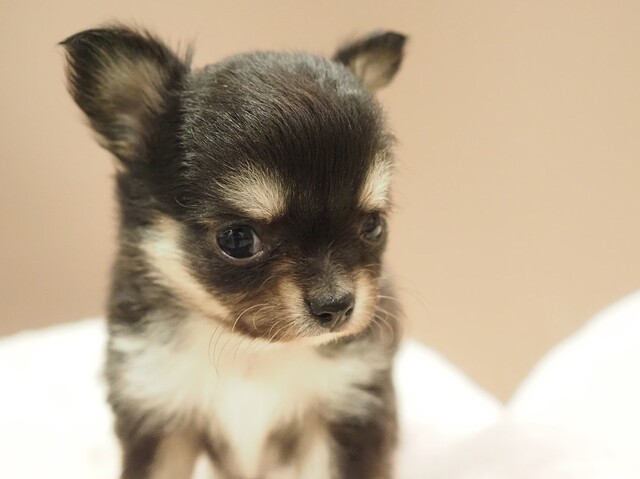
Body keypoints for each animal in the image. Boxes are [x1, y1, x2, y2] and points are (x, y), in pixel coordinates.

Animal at [62, 25, 406, 479]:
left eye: (373, 226)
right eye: (238, 240)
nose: (336, 306)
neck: (252, 352)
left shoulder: (345, 407)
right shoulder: (161, 407)